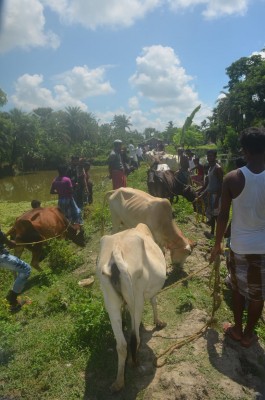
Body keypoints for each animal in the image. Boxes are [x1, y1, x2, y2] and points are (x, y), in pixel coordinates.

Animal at [97, 223, 165, 392]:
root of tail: (115, 253)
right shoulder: (150, 292)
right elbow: (154, 301)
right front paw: (158, 322)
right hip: (137, 299)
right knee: (135, 338)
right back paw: (134, 362)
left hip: (111, 301)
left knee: (122, 344)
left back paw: (119, 382)